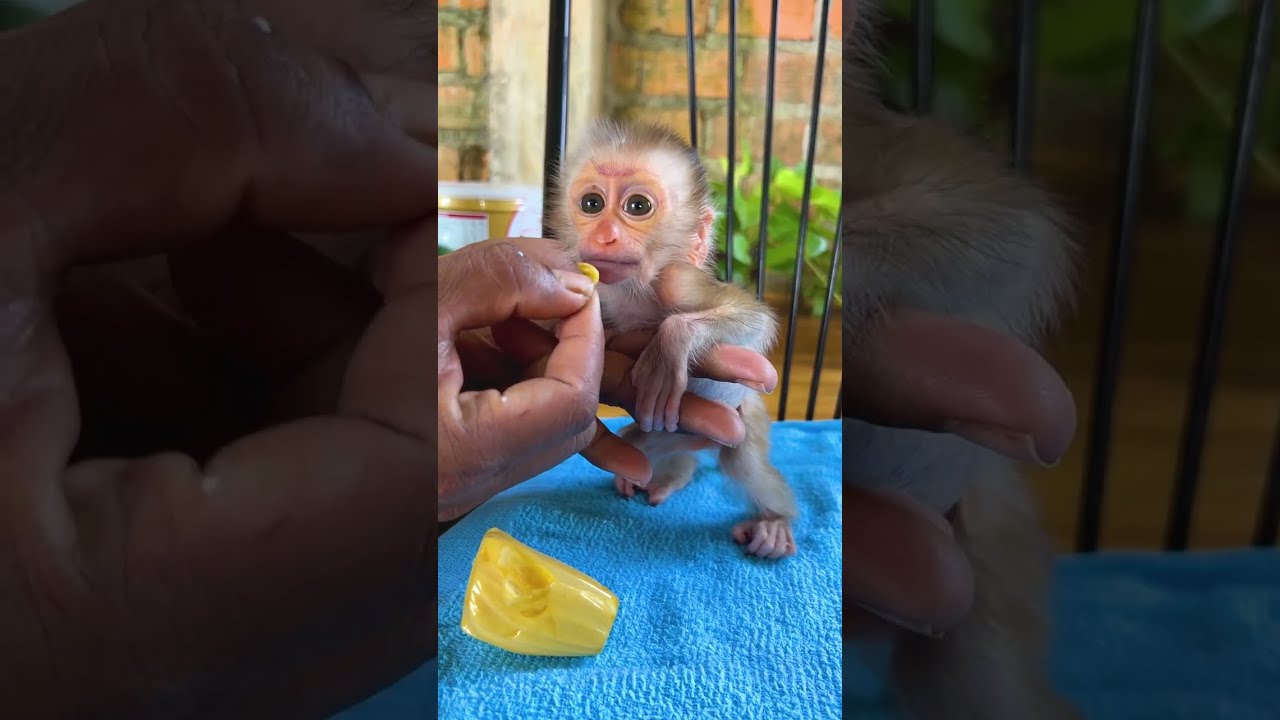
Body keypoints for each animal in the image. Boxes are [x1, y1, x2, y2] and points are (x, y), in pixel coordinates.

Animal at [543, 116, 799, 561]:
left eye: (637, 207)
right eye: (591, 204)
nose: (605, 235)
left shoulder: (679, 279)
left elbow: (757, 320)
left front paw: (668, 350)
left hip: (744, 420)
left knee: (744, 465)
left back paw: (774, 523)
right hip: (663, 435)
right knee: (638, 444)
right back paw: (670, 473)